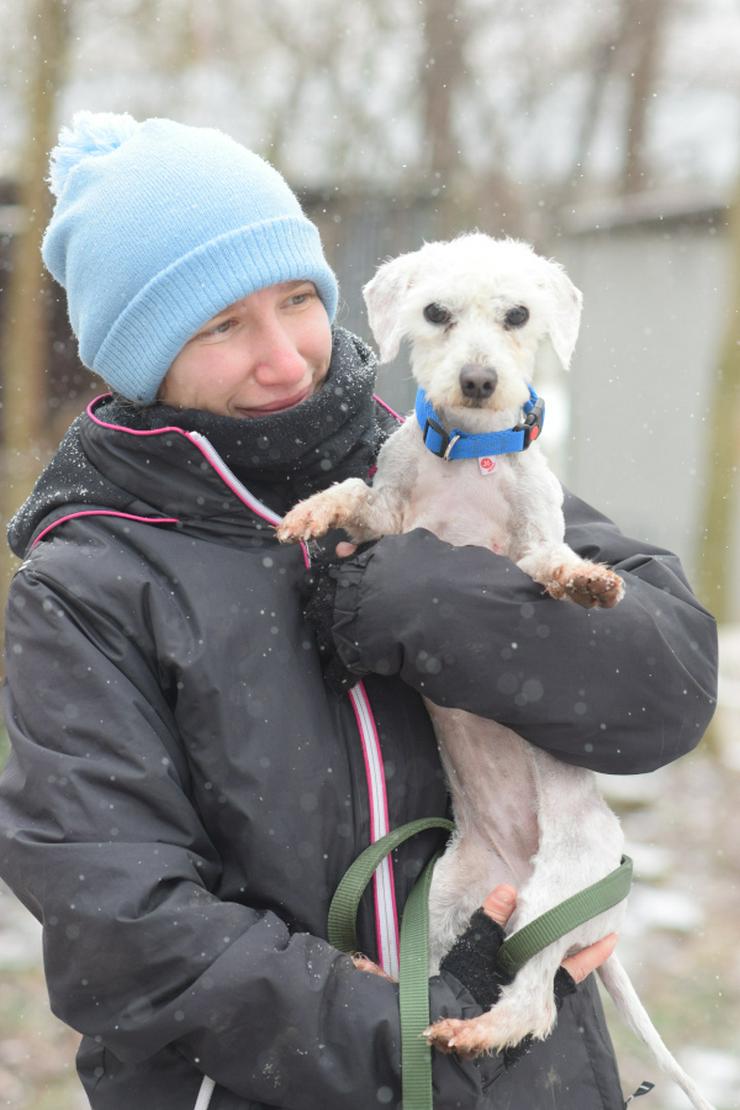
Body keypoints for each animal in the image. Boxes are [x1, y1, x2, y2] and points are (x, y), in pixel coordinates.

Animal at [276, 234, 710, 1110]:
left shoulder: (532, 533)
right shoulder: (387, 510)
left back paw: (481, 1029)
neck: (469, 456)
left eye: (517, 315)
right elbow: (353, 491)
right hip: (447, 899)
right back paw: (399, 983)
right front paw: (311, 511)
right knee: (438, 977)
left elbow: (550, 559)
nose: (479, 381)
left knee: (535, 1000)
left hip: (556, 895)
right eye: (436, 312)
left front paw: (586, 580)